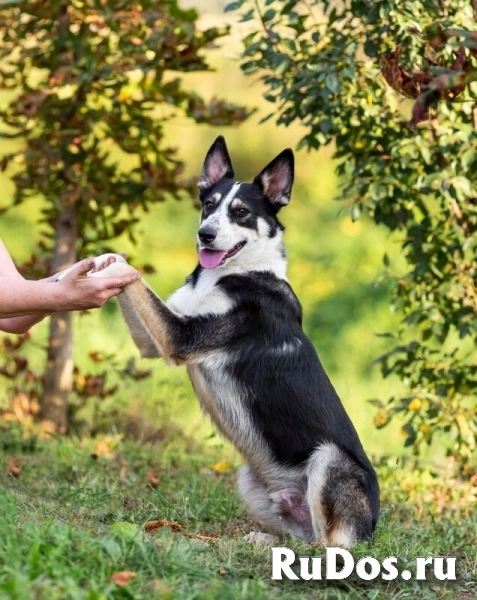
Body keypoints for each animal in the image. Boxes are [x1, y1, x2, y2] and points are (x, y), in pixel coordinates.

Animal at [92, 136, 380, 548]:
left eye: (241, 212)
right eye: (208, 205)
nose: (205, 235)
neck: (237, 272)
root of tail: (372, 527)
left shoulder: (179, 336)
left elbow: (132, 275)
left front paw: (108, 267)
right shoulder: (157, 337)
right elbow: (130, 279)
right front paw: (102, 260)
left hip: (329, 460)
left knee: (327, 546)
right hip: (249, 481)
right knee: (300, 539)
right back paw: (262, 541)